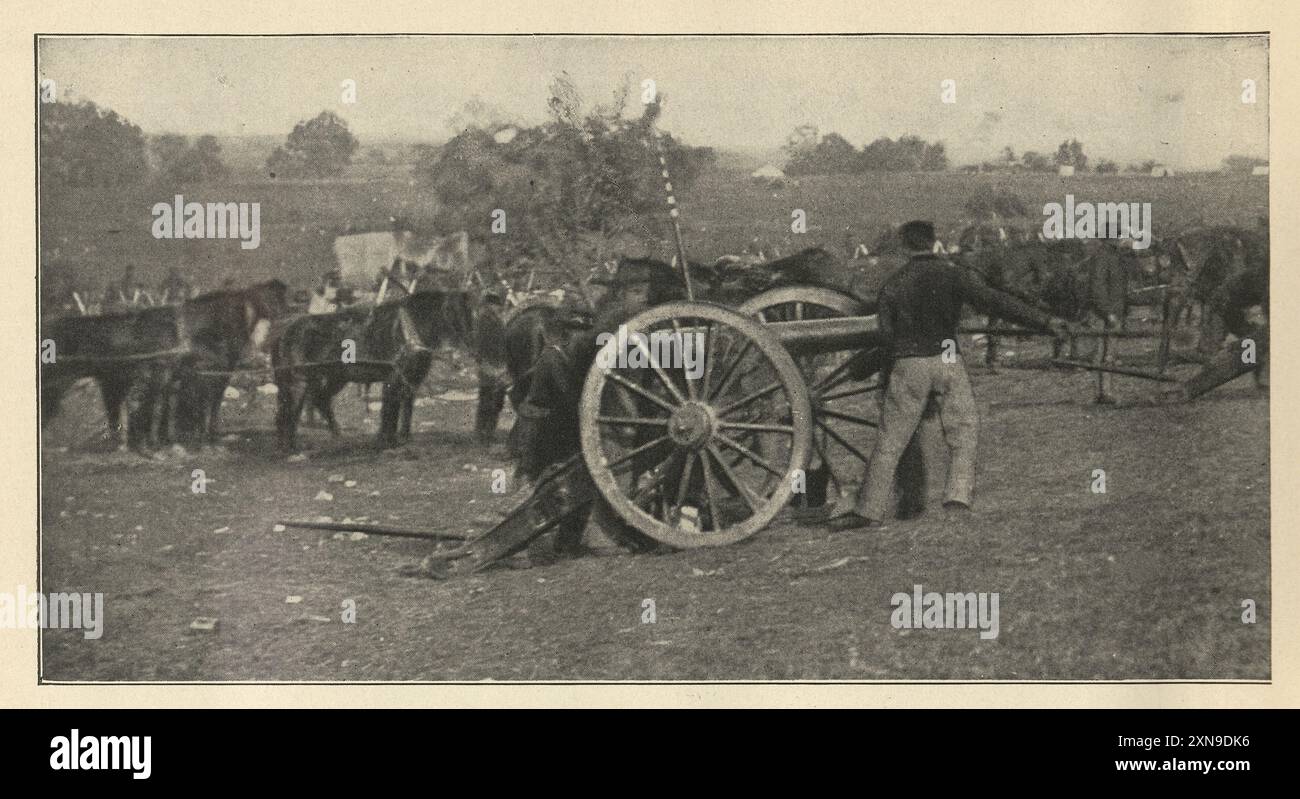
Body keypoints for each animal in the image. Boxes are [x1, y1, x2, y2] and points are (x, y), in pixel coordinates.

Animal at [271, 289, 475, 452]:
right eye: (457, 313)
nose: (473, 345)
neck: (409, 330)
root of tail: (284, 332)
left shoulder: (411, 381)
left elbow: (406, 411)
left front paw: (403, 438)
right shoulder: (393, 380)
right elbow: (390, 413)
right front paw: (388, 441)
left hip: (334, 378)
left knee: (317, 401)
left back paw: (336, 434)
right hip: (298, 381)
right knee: (289, 412)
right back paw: (290, 447)